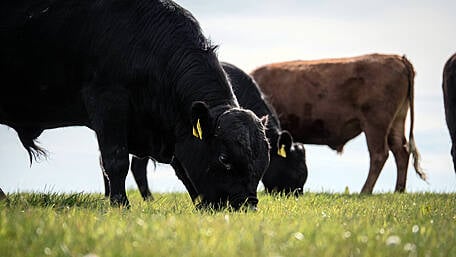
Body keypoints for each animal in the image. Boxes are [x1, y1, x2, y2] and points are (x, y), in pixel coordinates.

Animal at [0, 0, 270, 209]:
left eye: (264, 163)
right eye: (224, 158)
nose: (245, 206)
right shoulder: (107, 101)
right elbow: (115, 160)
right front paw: (120, 205)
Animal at [249, 53, 428, 192]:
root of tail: (398, 58)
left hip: (376, 123)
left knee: (379, 154)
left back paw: (365, 191)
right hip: (396, 121)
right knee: (401, 151)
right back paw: (399, 190)